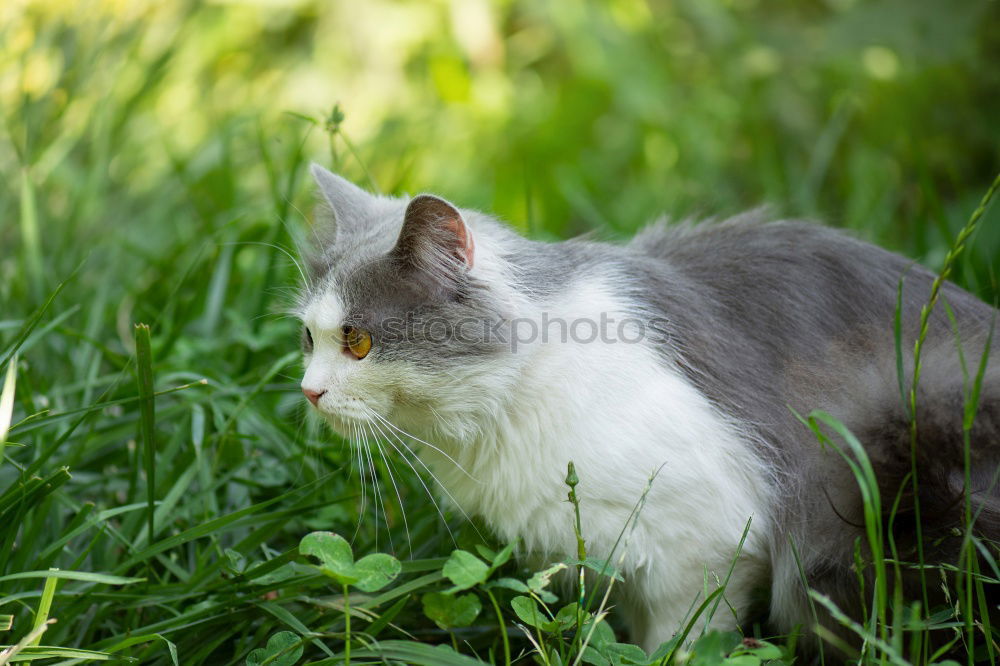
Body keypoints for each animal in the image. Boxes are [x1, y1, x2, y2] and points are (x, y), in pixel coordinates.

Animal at [296, 163, 1000, 652]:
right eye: (308, 337)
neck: (522, 388)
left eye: (357, 341)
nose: (308, 391)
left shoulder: (708, 540)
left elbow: (679, 640)